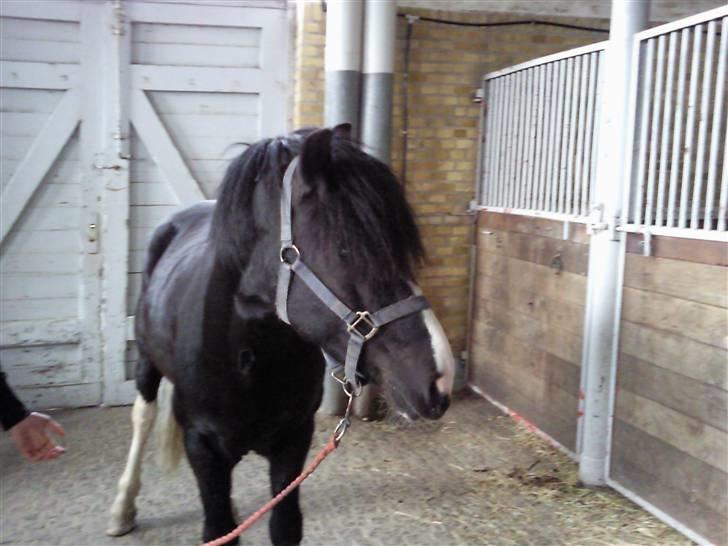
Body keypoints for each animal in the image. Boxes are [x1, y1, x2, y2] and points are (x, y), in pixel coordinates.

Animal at [106, 124, 455, 545]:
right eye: (346, 249)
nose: (439, 379)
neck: (247, 354)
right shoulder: (202, 446)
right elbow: (217, 528)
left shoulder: (294, 442)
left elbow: (282, 525)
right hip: (145, 357)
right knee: (143, 416)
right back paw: (123, 507)